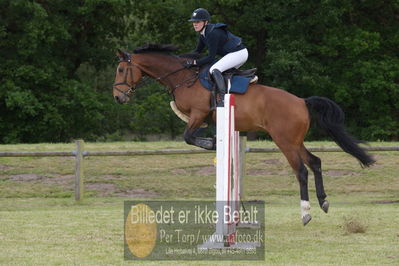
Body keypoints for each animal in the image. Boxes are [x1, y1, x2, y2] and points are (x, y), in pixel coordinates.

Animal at [112, 43, 376, 224]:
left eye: (122, 69)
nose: (118, 97)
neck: (182, 77)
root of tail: (302, 101)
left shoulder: (198, 114)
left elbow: (188, 137)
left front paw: (210, 143)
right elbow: (189, 135)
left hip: (284, 141)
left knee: (301, 170)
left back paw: (305, 213)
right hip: (295, 141)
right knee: (316, 162)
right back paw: (323, 201)